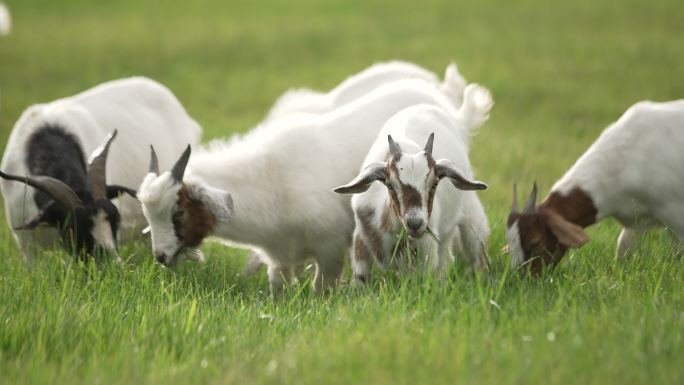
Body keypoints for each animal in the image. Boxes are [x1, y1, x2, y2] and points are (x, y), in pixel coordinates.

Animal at [136, 74, 478, 294]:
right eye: (149, 214)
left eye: (178, 211)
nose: (161, 257)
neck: (270, 180)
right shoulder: (279, 256)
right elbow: (280, 289)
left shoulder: (330, 248)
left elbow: (321, 289)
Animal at [502, 99, 684, 272]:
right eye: (511, 245)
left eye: (535, 241)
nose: (522, 278)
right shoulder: (637, 219)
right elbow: (623, 247)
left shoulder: (674, 214)